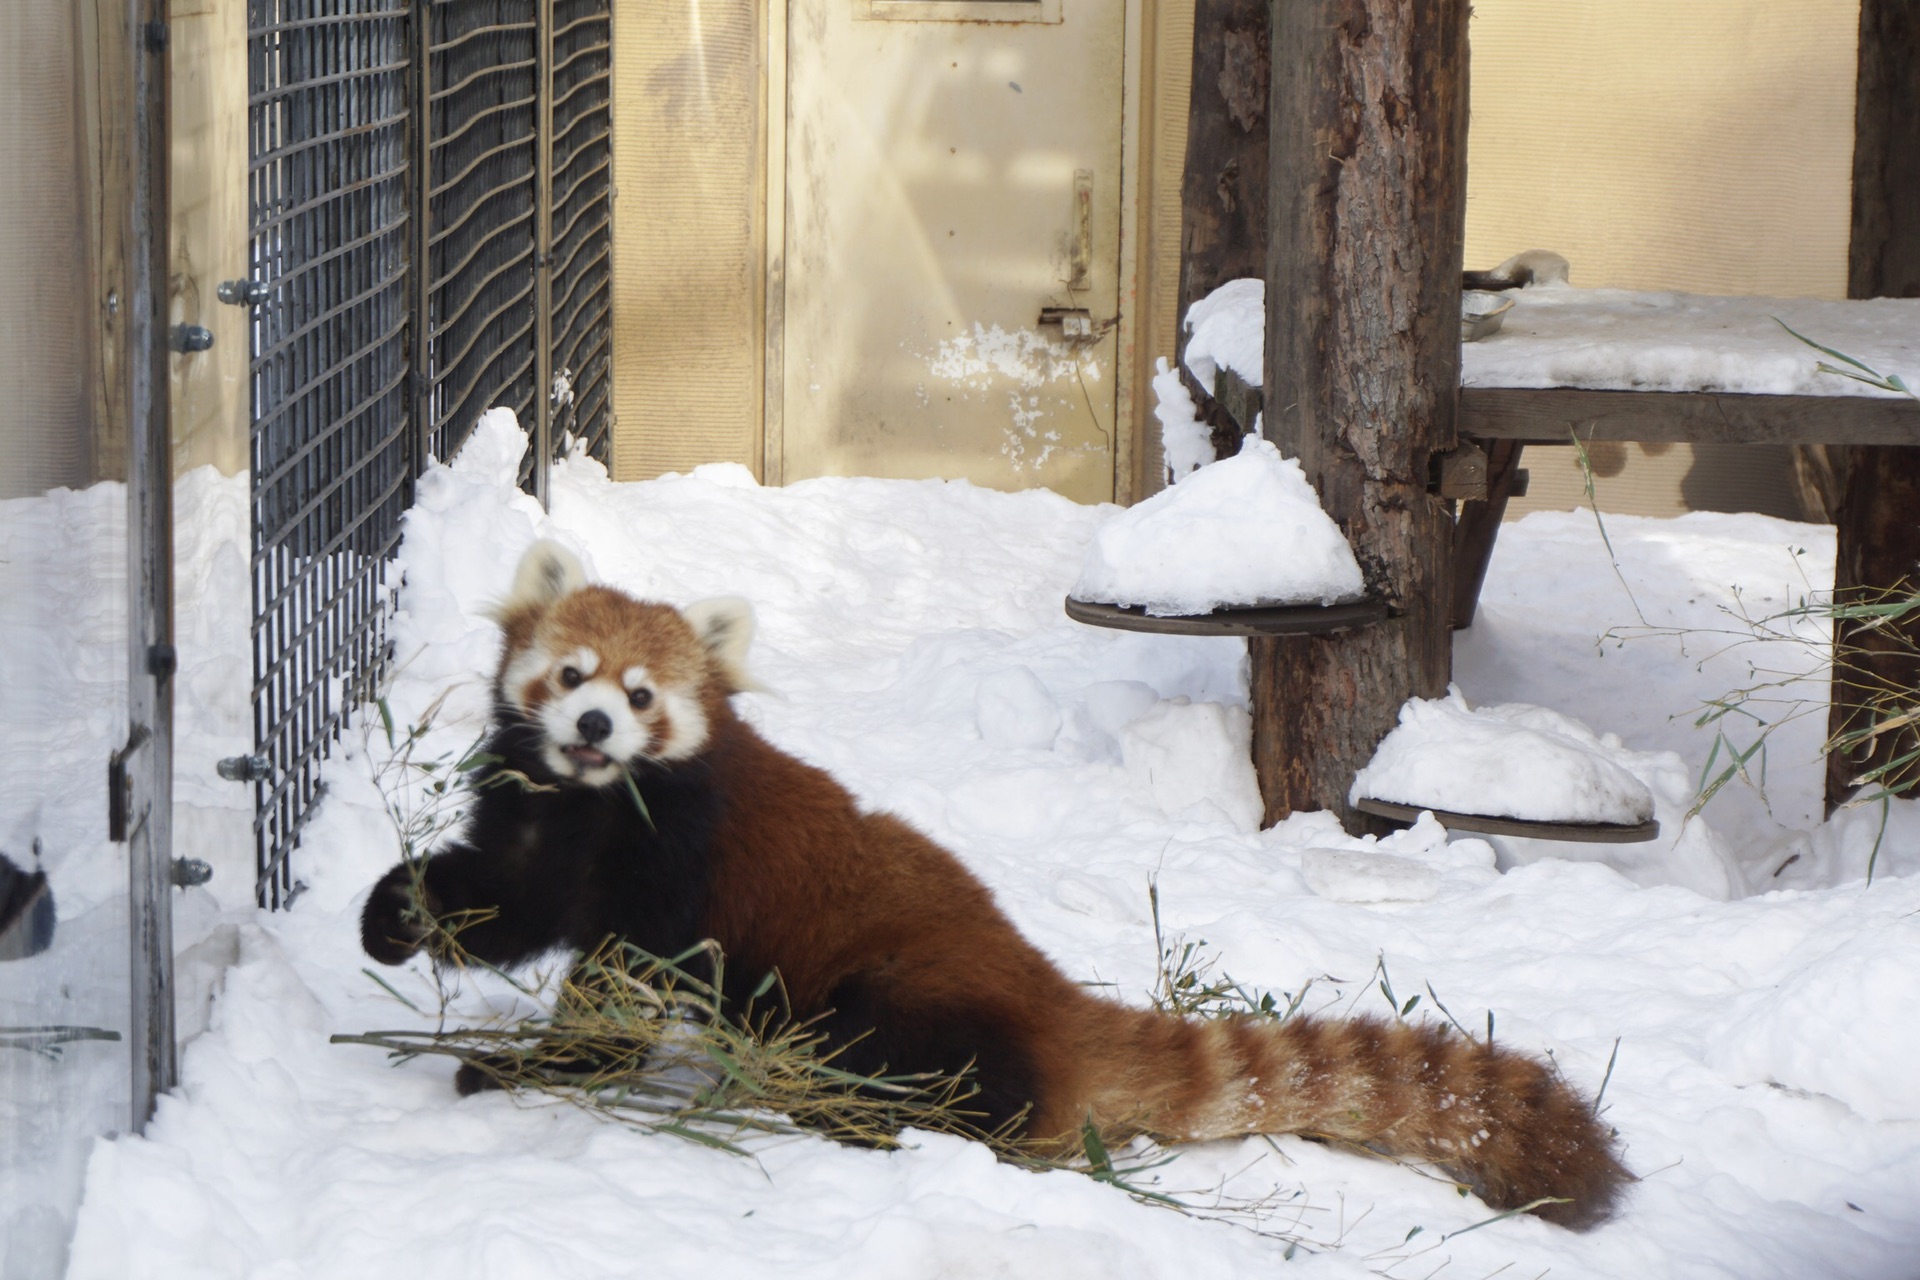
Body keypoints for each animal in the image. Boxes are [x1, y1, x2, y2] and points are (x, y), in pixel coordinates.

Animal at [357, 541, 1620, 1228]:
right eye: (571, 674)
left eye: (641, 694)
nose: (594, 726)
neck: (589, 801)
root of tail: (1048, 997)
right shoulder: (536, 823)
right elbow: (499, 904)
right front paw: (391, 916)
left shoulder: (676, 860)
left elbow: (621, 980)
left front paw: (539, 1066)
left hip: (904, 993)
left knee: (929, 1070)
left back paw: (854, 1112)